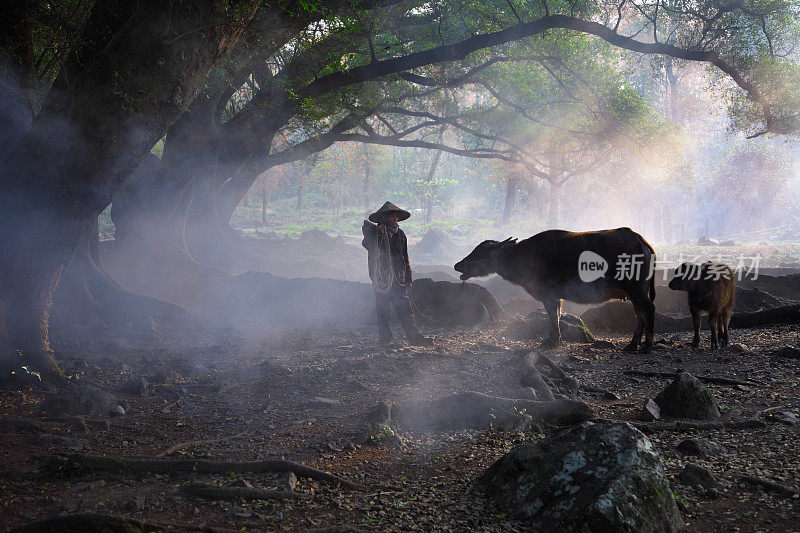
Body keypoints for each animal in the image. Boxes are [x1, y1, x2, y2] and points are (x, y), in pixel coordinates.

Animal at [456, 227, 656, 352]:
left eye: (479, 252)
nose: (458, 265)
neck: (523, 257)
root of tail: (641, 240)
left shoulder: (548, 294)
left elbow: (552, 316)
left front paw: (551, 341)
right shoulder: (556, 297)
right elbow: (558, 315)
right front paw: (557, 339)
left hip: (636, 289)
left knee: (648, 310)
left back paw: (646, 346)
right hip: (636, 292)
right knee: (639, 312)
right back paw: (633, 345)